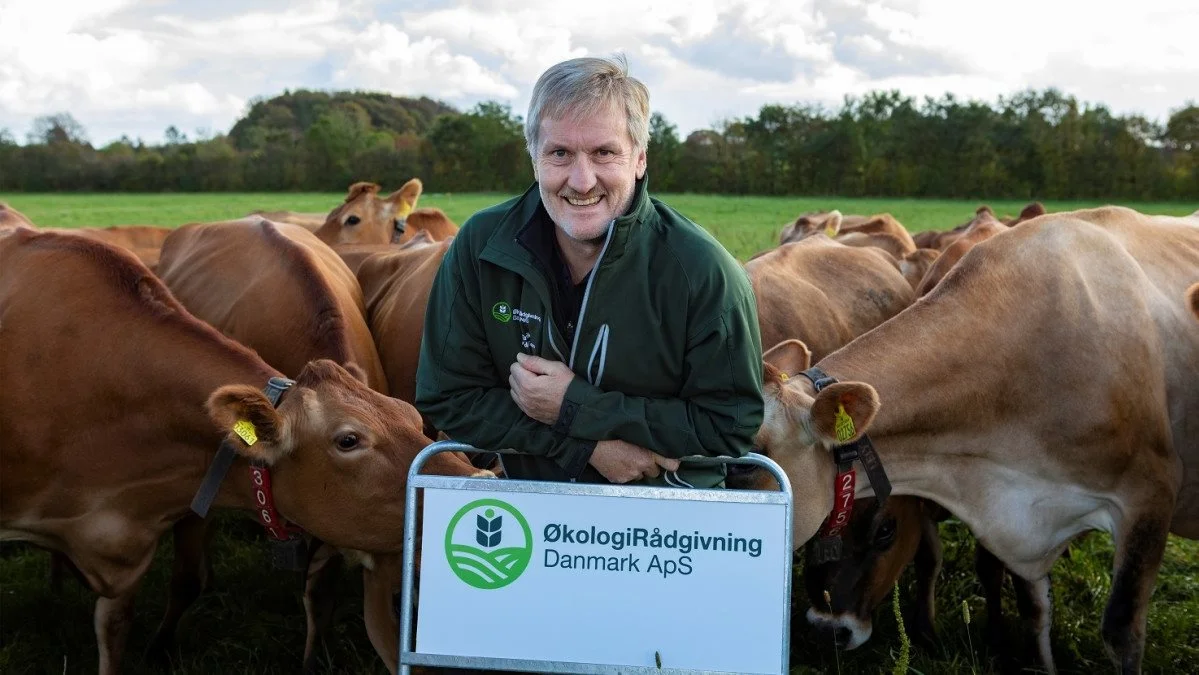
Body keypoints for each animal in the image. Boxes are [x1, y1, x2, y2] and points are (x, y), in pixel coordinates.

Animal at [748, 207, 1199, 675]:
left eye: (886, 531)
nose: (826, 630)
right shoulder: (1022, 522)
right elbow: (1034, 611)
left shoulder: (1149, 496)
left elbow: (1121, 632)